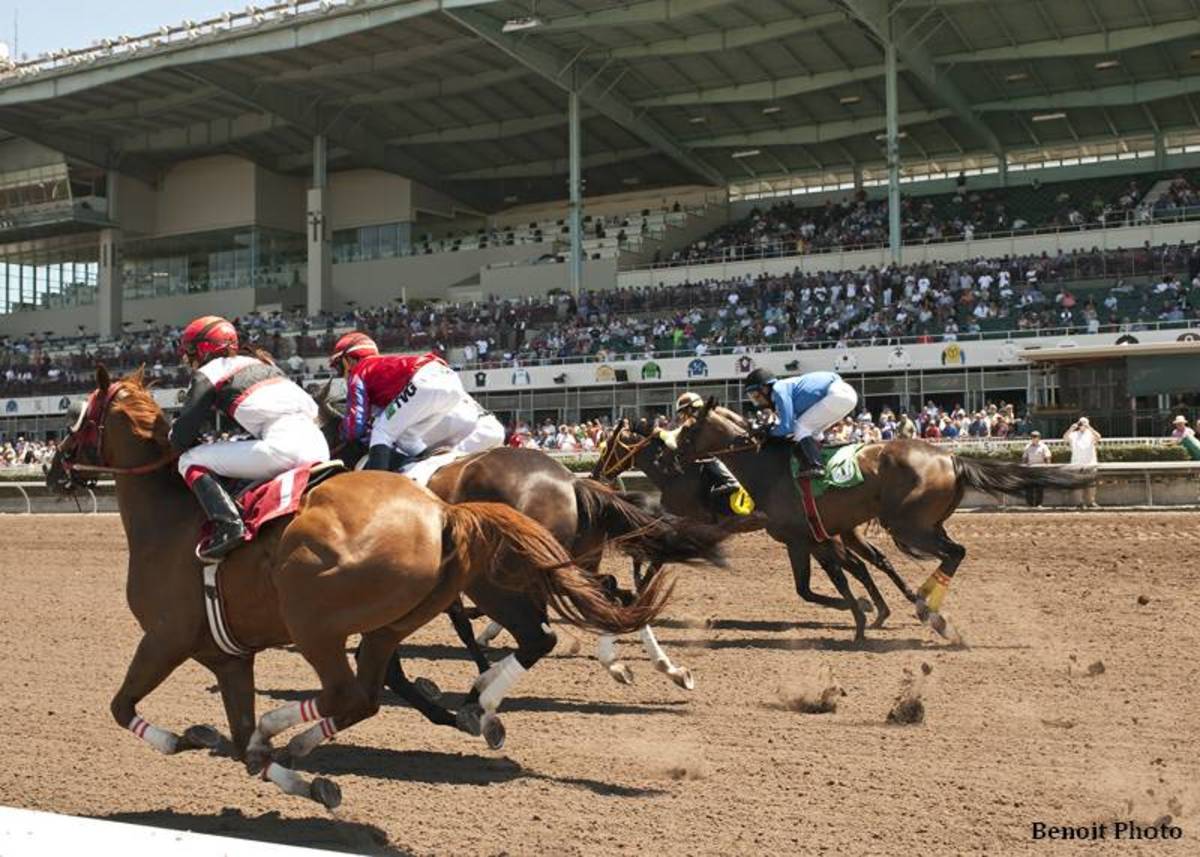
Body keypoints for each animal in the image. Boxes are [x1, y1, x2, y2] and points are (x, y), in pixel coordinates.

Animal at [44, 364, 676, 806]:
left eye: (78, 416)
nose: (53, 467)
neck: (170, 520)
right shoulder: (228, 654)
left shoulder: (166, 638)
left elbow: (123, 705)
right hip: (472, 588)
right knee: (574, 616)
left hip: (322, 618)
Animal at [667, 403, 1099, 638]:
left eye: (687, 429)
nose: (671, 455)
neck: (767, 468)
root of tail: (951, 456)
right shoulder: (812, 538)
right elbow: (829, 580)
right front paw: (869, 612)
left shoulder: (807, 538)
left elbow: (827, 584)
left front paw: (860, 616)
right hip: (924, 523)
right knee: (934, 555)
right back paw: (921, 605)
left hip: (909, 525)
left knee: (955, 552)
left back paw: (925, 605)